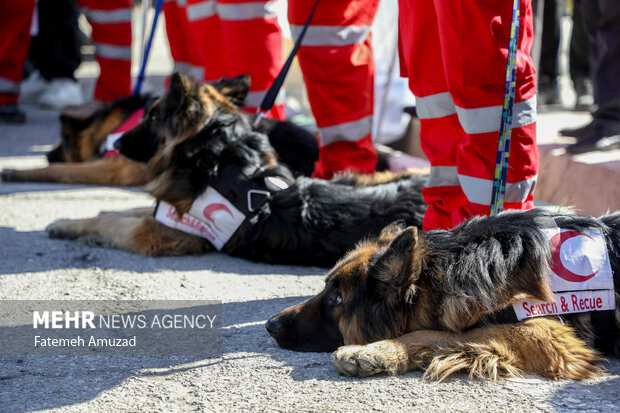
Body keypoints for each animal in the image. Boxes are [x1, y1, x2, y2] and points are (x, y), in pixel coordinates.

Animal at [46, 73, 428, 268]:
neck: (216, 156)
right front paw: (76, 221)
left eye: (152, 117)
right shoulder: (166, 212)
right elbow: (119, 211)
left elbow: (115, 221)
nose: (119, 143)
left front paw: (67, 225)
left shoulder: (163, 233)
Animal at [268, 209, 620, 380]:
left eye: (337, 299)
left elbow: (448, 334)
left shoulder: (545, 332)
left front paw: (376, 351)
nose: (270, 325)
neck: (451, 267)